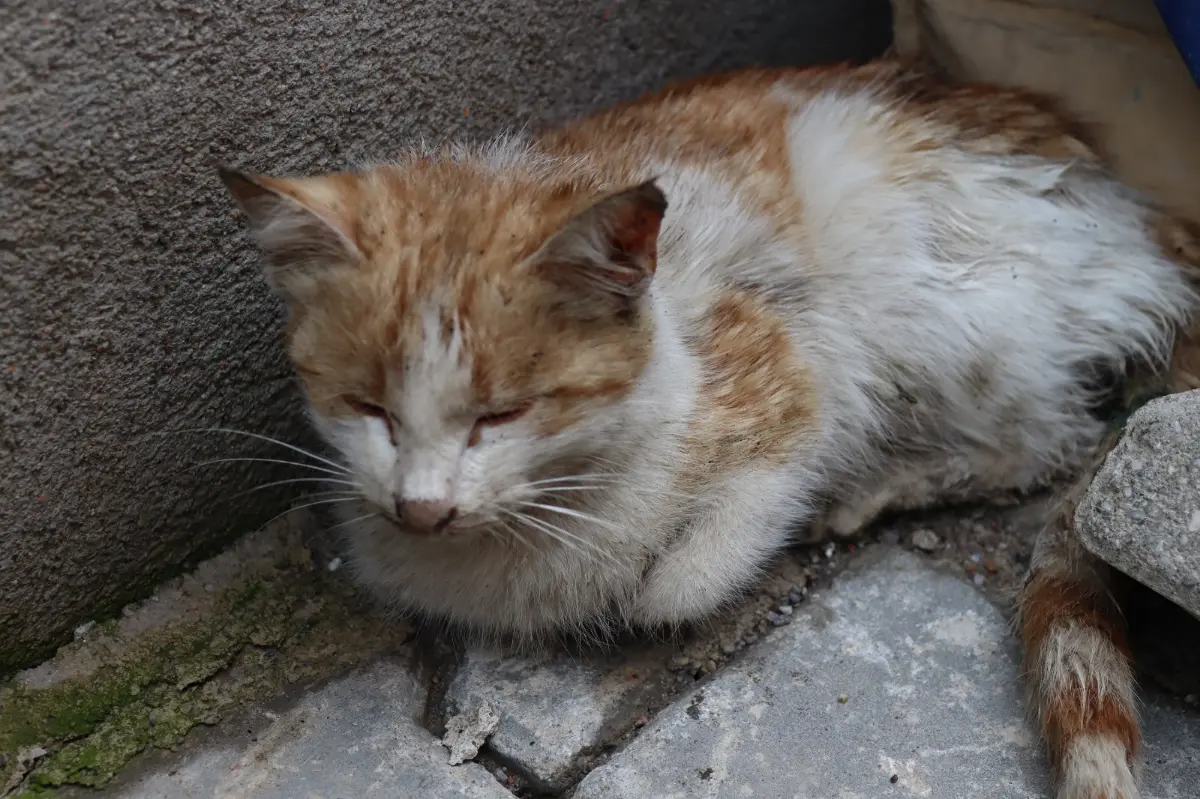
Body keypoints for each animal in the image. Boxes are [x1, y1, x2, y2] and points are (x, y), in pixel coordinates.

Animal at [220, 60, 1200, 796]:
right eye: (368, 408)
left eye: (504, 413)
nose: (421, 507)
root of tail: (1146, 219)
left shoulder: (795, 367)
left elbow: (686, 577)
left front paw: (668, 578)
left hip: (927, 287)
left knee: (1046, 439)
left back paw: (884, 484)